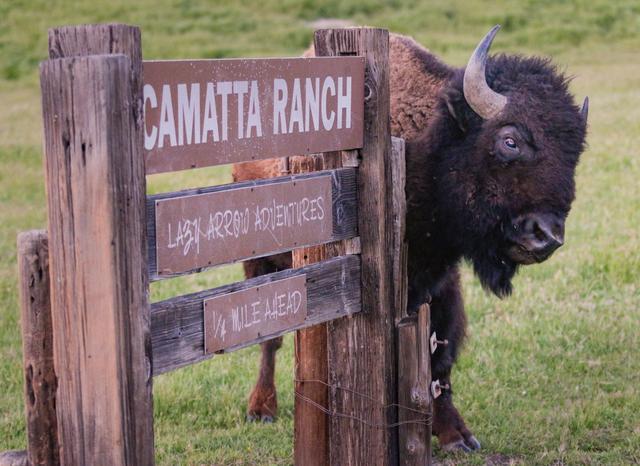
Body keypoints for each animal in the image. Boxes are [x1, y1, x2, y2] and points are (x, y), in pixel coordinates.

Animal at [233, 26, 589, 452]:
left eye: (575, 152)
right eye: (510, 140)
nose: (545, 236)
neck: (430, 144)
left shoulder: (440, 281)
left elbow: (441, 353)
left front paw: (457, 436)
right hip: (261, 264)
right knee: (268, 341)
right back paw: (261, 407)